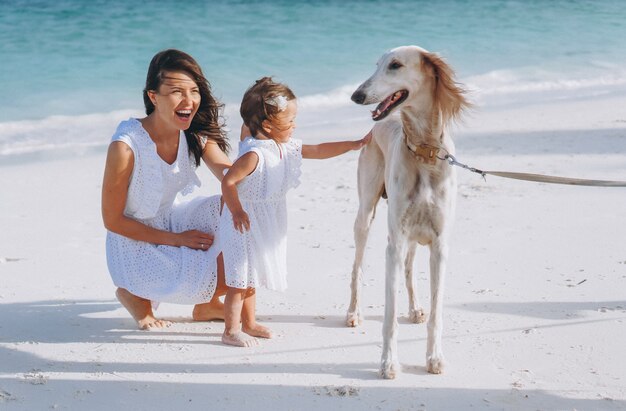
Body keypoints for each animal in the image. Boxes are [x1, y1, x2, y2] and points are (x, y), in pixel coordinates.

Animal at [346, 45, 468, 380]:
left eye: (395, 65)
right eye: (377, 64)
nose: (356, 95)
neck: (424, 151)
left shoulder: (439, 244)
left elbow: (437, 313)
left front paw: (434, 357)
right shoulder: (395, 243)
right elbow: (389, 316)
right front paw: (388, 362)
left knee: (411, 270)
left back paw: (414, 308)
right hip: (366, 215)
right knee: (357, 268)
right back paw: (353, 312)